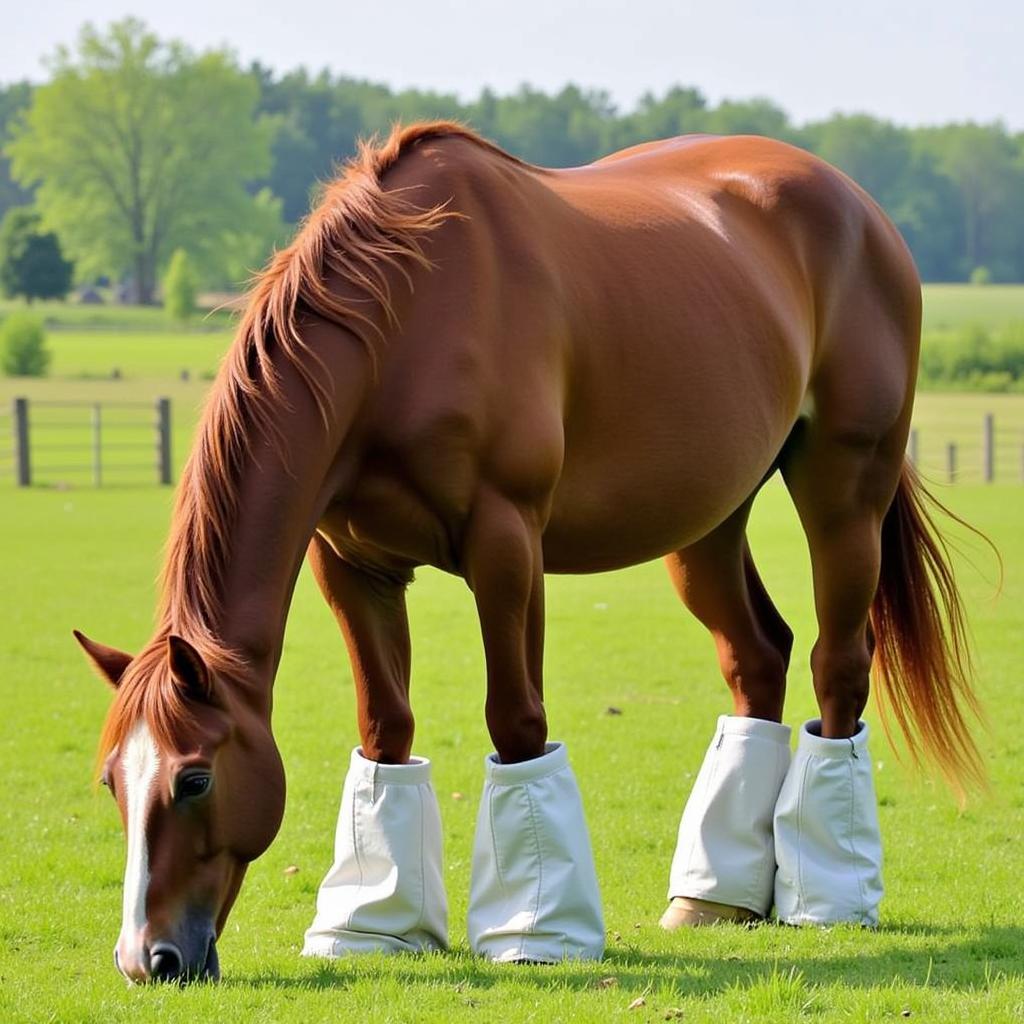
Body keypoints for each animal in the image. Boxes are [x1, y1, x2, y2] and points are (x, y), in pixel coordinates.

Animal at [75, 121, 978, 983]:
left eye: (194, 777)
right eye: (113, 779)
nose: (148, 958)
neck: (408, 321)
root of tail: (859, 208)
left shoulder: (506, 547)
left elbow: (516, 719)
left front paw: (536, 930)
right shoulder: (354, 566)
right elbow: (386, 725)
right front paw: (373, 927)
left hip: (844, 488)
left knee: (839, 663)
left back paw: (829, 897)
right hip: (708, 522)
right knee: (758, 656)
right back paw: (713, 900)